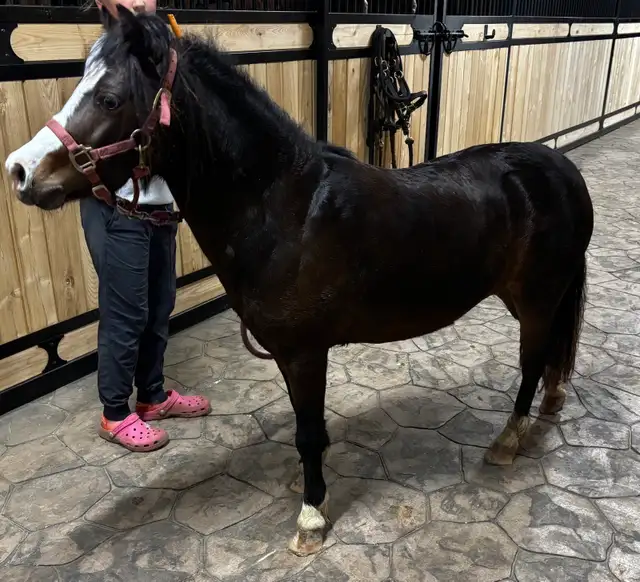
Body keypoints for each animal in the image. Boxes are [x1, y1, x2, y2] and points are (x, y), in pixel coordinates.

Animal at [5, 7, 594, 556]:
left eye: (108, 98)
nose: (20, 171)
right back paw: (551, 402)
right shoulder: (289, 355)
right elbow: (306, 430)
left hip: (537, 298)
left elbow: (309, 434)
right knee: (551, 354)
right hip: (530, 297)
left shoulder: (306, 352)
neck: (285, 209)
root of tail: (562, 169)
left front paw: (311, 518)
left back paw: (509, 439)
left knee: (532, 359)